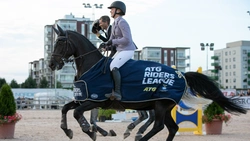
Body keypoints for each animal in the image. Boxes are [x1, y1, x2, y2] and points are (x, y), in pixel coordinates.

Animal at [48, 24, 246, 140]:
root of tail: (181, 74)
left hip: (159, 105)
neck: (91, 66)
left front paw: (89, 130)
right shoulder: (84, 98)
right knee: (171, 128)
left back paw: (138, 136)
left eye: (60, 43)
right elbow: (66, 109)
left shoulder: (95, 99)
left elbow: (77, 113)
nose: (51, 64)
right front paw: (69, 130)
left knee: (158, 125)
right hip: (162, 106)